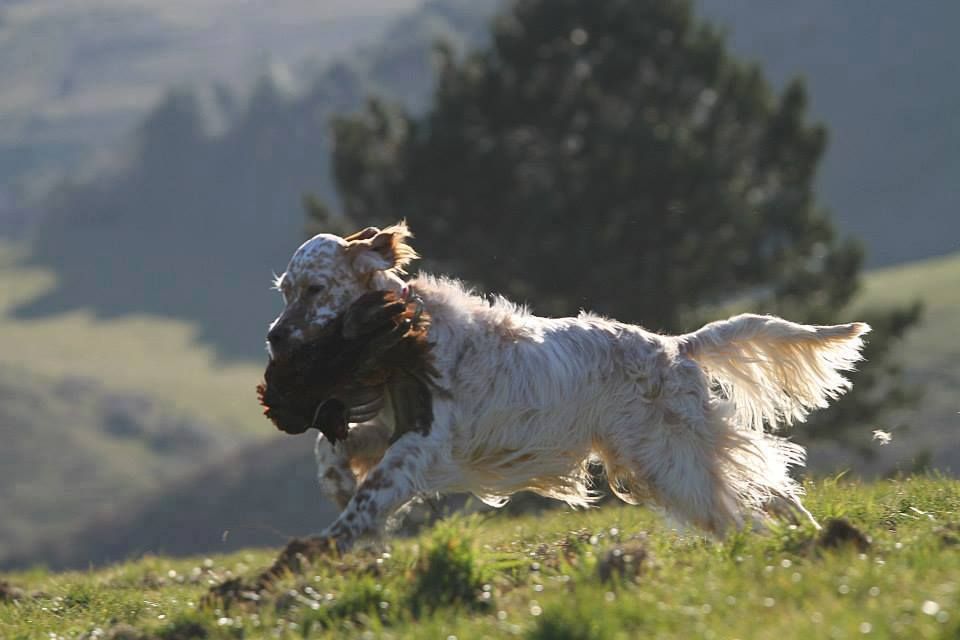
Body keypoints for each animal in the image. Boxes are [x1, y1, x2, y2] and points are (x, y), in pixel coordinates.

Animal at [267, 222, 869, 551]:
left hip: (667, 455)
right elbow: (333, 449)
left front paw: (327, 544)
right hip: (662, 459)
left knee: (751, 488)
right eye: (285, 290)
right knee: (761, 487)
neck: (400, 336)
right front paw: (336, 483)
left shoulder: (422, 442)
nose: (274, 338)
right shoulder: (386, 426)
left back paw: (792, 535)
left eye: (315, 289)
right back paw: (806, 533)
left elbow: (369, 498)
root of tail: (675, 346)